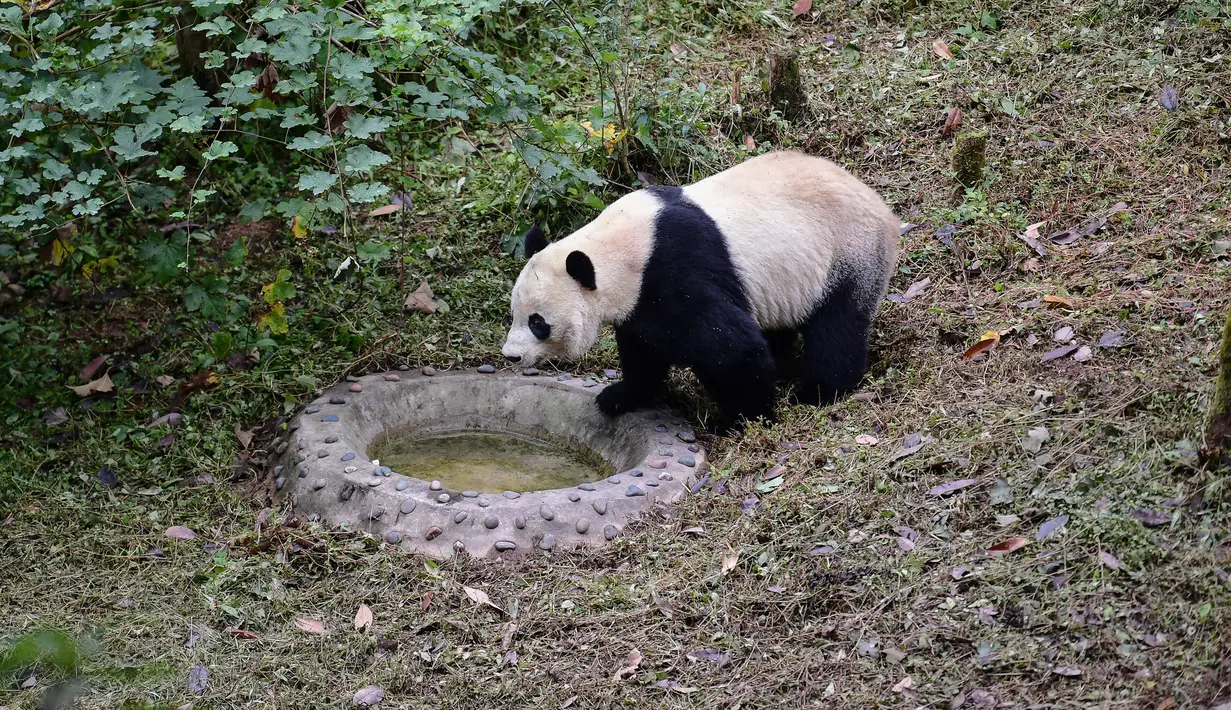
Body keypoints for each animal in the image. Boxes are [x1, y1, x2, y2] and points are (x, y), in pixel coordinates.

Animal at [501, 150, 899, 432]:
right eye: (513, 314)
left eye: (538, 323)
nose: (511, 356)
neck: (620, 247)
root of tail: (885, 210)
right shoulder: (640, 300)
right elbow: (643, 349)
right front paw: (620, 396)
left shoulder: (674, 268)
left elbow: (730, 348)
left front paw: (747, 420)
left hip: (848, 252)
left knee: (837, 327)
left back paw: (817, 392)